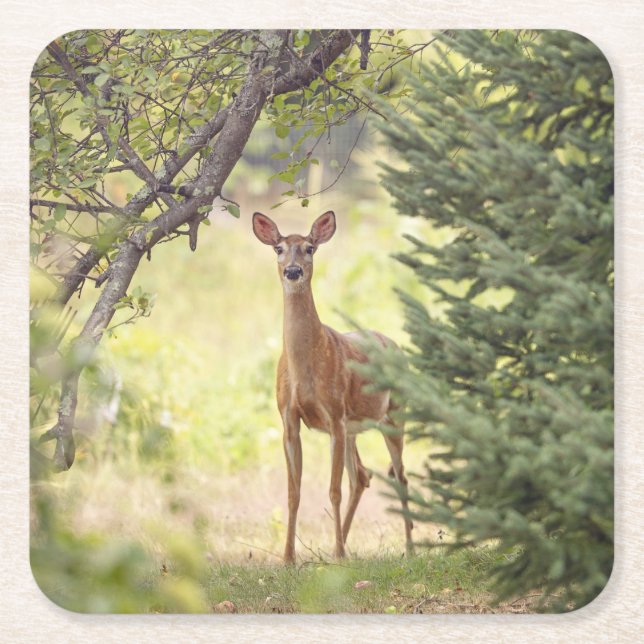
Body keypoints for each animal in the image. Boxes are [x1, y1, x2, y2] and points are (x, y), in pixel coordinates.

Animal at [252, 210, 414, 563]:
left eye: (310, 248)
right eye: (278, 248)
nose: (293, 271)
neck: (305, 367)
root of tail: (396, 346)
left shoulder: (334, 414)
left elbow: (333, 489)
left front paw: (337, 554)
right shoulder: (289, 419)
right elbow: (293, 492)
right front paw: (288, 557)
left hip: (394, 415)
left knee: (400, 476)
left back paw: (407, 548)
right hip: (355, 427)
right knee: (363, 475)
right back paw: (340, 546)